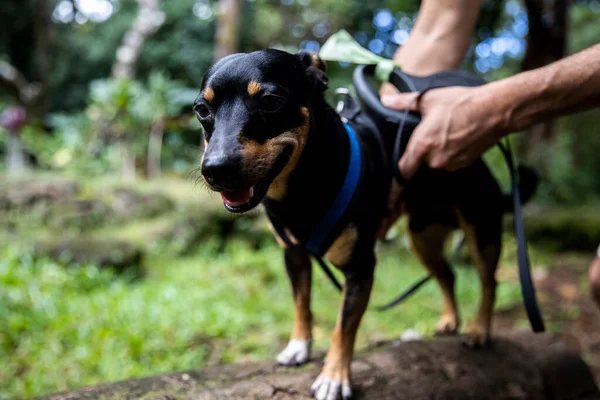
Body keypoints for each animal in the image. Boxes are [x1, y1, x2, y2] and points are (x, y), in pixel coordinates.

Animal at [195, 50, 536, 400]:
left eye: (270, 101)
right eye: (202, 110)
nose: (215, 169)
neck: (303, 188)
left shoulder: (360, 269)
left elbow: (343, 327)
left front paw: (334, 377)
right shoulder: (294, 256)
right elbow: (301, 304)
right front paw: (299, 346)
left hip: (482, 230)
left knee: (489, 282)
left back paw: (480, 330)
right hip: (423, 239)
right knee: (447, 275)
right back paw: (450, 321)